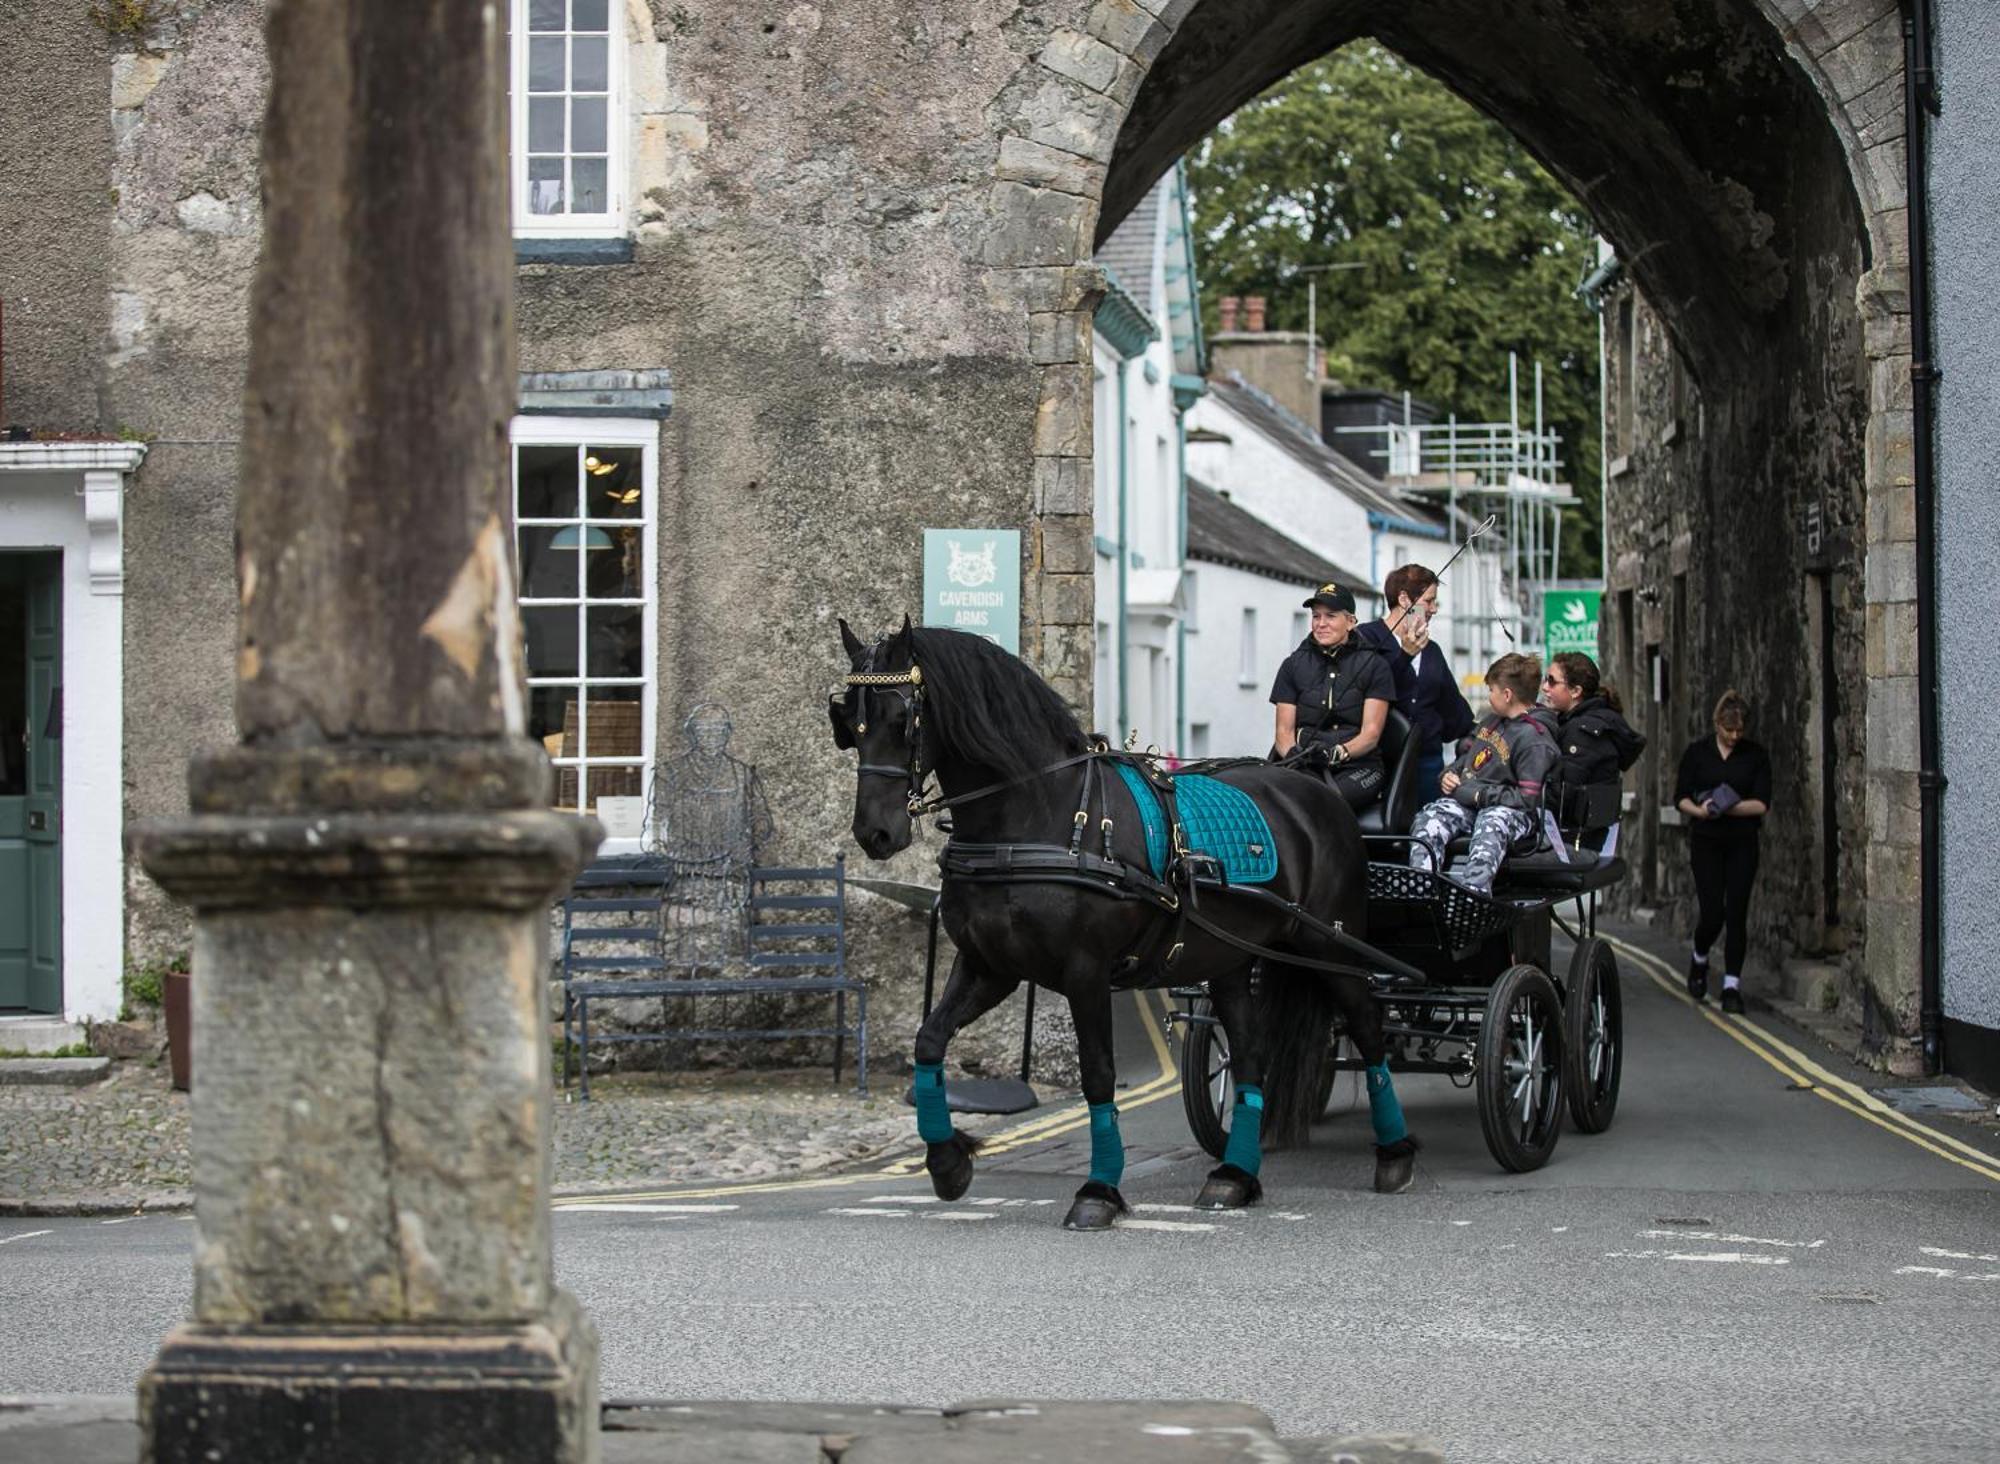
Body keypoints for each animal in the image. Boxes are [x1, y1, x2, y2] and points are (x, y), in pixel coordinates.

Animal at [828, 612, 1424, 1232]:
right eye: (848, 723)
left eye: (902, 720)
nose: (875, 833)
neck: (1035, 818)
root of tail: (1313, 784)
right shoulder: (990, 966)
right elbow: (928, 1040)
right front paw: (947, 1162)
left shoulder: (1085, 971)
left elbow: (1098, 1073)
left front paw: (1099, 1189)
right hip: (1231, 958)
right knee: (1251, 1057)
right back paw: (1235, 1175)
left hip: (1331, 946)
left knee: (1368, 1028)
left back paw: (1394, 1155)